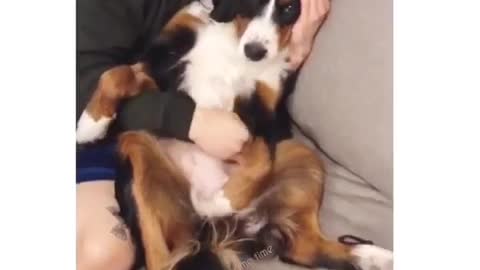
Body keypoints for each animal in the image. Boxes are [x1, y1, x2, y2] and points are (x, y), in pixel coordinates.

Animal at [74, 0, 390, 270]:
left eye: (289, 8)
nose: (254, 51)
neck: (233, 34)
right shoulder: (165, 68)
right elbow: (115, 73)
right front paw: (90, 125)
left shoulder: (263, 107)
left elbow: (260, 159)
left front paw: (219, 201)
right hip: (137, 149)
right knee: (160, 261)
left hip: (303, 153)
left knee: (303, 247)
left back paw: (373, 256)